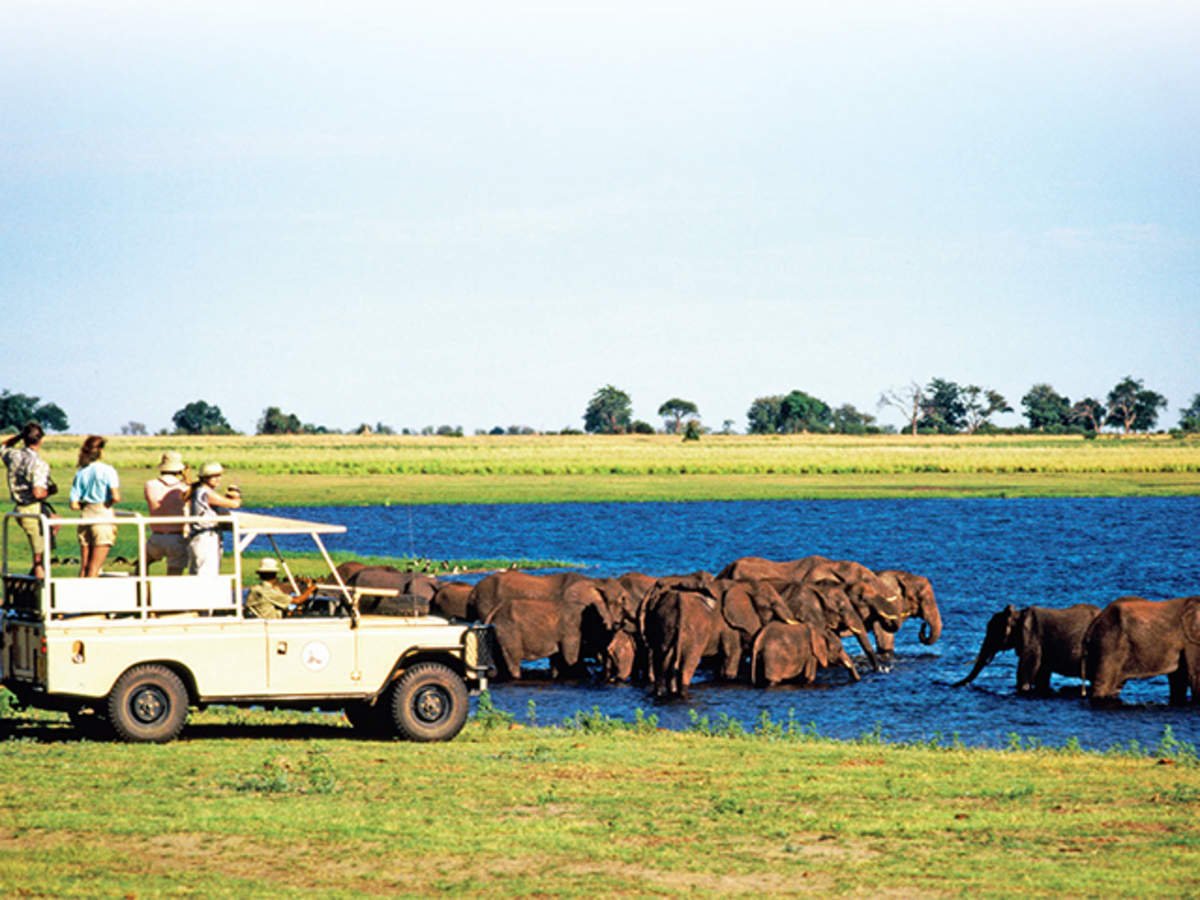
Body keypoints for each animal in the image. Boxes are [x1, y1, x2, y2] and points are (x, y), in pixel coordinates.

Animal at [950, 607, 1099, 696]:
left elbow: (1027, 668)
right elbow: (1041, 673)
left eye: (993, 632)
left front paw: (1023, 690)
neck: (1018, 614)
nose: (953, 685)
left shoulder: (1032, 637)